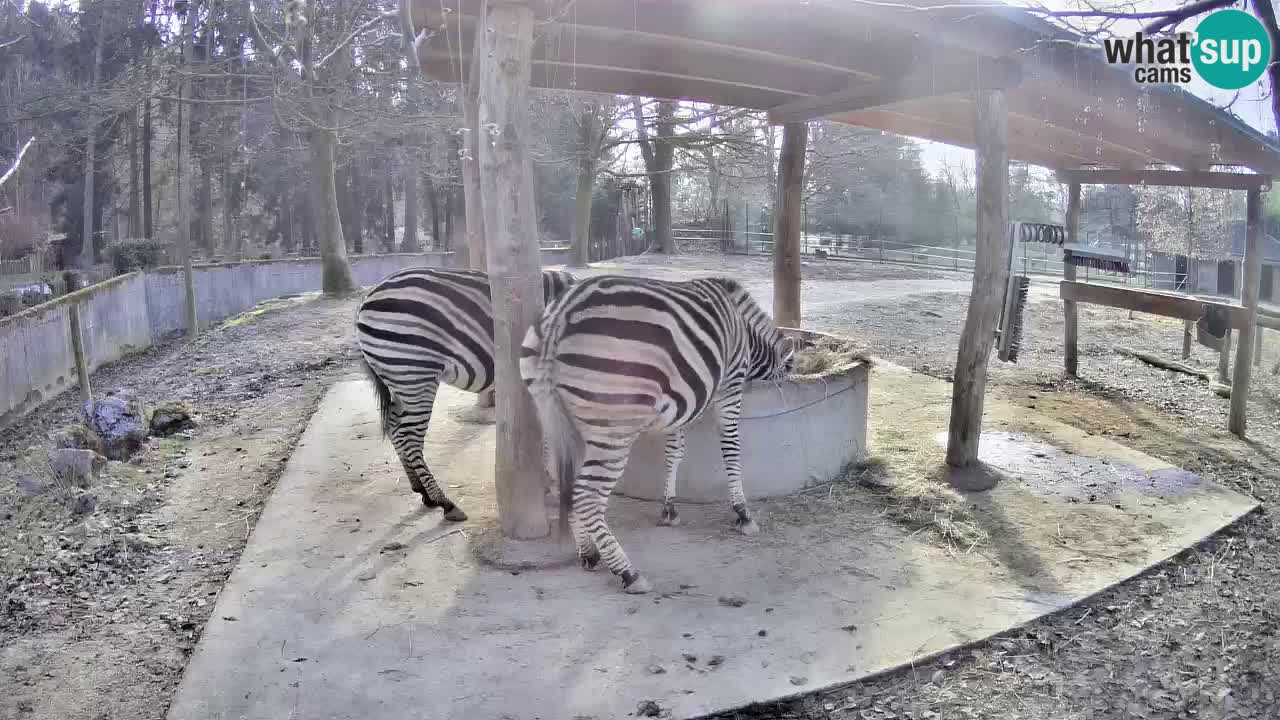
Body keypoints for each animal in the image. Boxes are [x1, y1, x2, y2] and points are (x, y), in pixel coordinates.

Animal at [360, 266, 581, 517]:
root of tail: (369, 296)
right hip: (414, 374)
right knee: (409, 436)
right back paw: (443, 501)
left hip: (400, 381)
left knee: (395, 428)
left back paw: (421, 490)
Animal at [514, 271, 793, 591]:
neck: (743, 329)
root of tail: (561, 314)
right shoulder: (730, 383)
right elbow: (731, 448)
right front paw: (742, 512)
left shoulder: (682, 399)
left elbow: (675, 451)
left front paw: (669, 509)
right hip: (614, 426)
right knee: (586, 494)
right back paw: (627, 572)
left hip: (554, 412)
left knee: (566, 482)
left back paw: (588, 552)